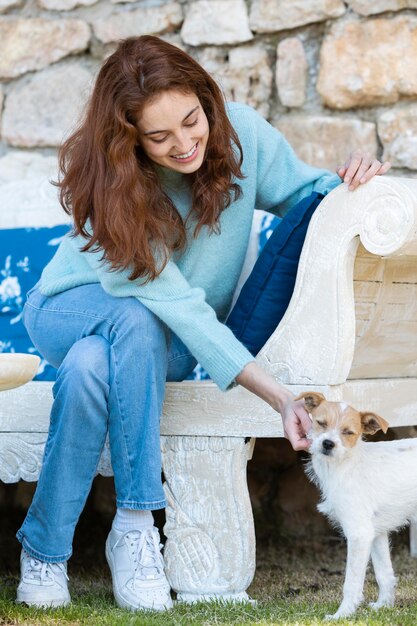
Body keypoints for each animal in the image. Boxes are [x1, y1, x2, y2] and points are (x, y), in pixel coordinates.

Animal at [296, 392, 416, 616]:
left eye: (348, 432)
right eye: (321, 423)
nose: (328, 444)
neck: (345, 465)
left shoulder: (359, 533)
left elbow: (351, 582)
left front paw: (342, 614)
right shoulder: (375, 533)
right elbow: (384, 573)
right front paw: (383, 605)